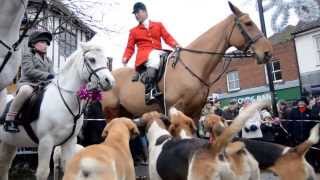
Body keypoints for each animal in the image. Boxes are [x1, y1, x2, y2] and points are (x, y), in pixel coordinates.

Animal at [0, 42, 115, 180]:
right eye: (92, 59)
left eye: (106, 61)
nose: (110, 81)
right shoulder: (46, 142)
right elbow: (43, 173)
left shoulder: (70, 142)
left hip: (9, 142)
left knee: (4, 165)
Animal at [100, 2, 272, 121]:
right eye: (248, 23)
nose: (267, 52)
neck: (194, 65)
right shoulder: (176, 110)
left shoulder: (195, 112)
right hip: (111, 112)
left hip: (125, 113)